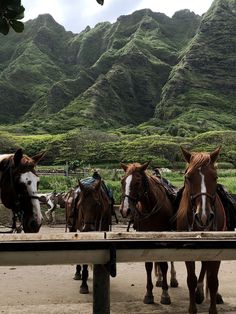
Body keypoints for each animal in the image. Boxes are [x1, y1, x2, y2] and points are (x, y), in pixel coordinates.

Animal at [120, 163, 177, 306]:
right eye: (122, 181)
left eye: (137, 182)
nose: (124, 210)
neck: (151, 207)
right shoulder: (146, 236)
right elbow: (148, 265)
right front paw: (149, 294)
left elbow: (164, 263)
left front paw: (165, 294)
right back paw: (160, 279)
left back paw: (173, 278)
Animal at [176, 147, 226, 314]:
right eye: (188, 177)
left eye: (215, 177)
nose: (204, 217)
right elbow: (191, 280)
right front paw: (192, 308)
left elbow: (213, 281)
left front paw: (213, 309)